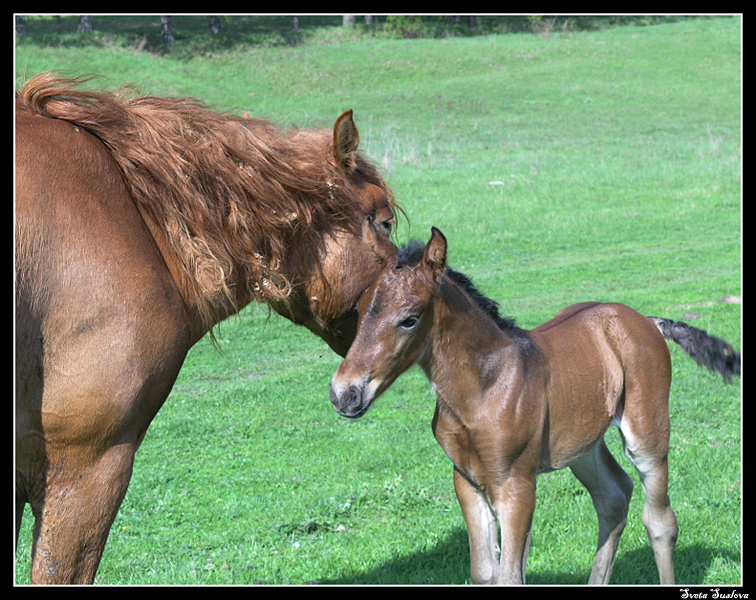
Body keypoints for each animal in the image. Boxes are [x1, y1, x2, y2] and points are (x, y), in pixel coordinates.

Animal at [330, 223, 740, 584]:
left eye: (410, 319)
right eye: (360, 311)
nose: (344, 393)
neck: (482, 390)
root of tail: (647, 321)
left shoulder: (516, 487)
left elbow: (511, 575)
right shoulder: (467, 482)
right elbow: (485, 572)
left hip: (647, 433)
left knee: (660, 522)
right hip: (580, 443)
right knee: (613, 495)